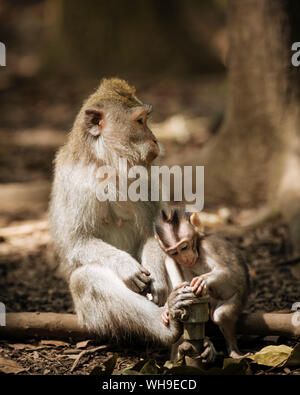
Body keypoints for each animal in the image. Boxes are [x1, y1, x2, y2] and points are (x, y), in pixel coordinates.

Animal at [49, 79, 195, 344]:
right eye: (140, 121)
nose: (155, 139)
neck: (109, 165)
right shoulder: (73, 182)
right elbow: (75, 244)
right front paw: (125, 265)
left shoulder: (145, 177)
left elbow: (154, 232)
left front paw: (158, 281)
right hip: (89, 316)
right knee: (84, 279)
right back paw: (169, 326)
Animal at [154, 209, 250, 360]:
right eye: (175, 252)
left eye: (184, 247)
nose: (184, 258)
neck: (198, 247)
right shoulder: (171, 257)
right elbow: (173, 266)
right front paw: (169, 306)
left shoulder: (208, 247)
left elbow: (229, 272)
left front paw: (203, 280)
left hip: (239, 299)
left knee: (221, 315)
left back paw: (234, 351)